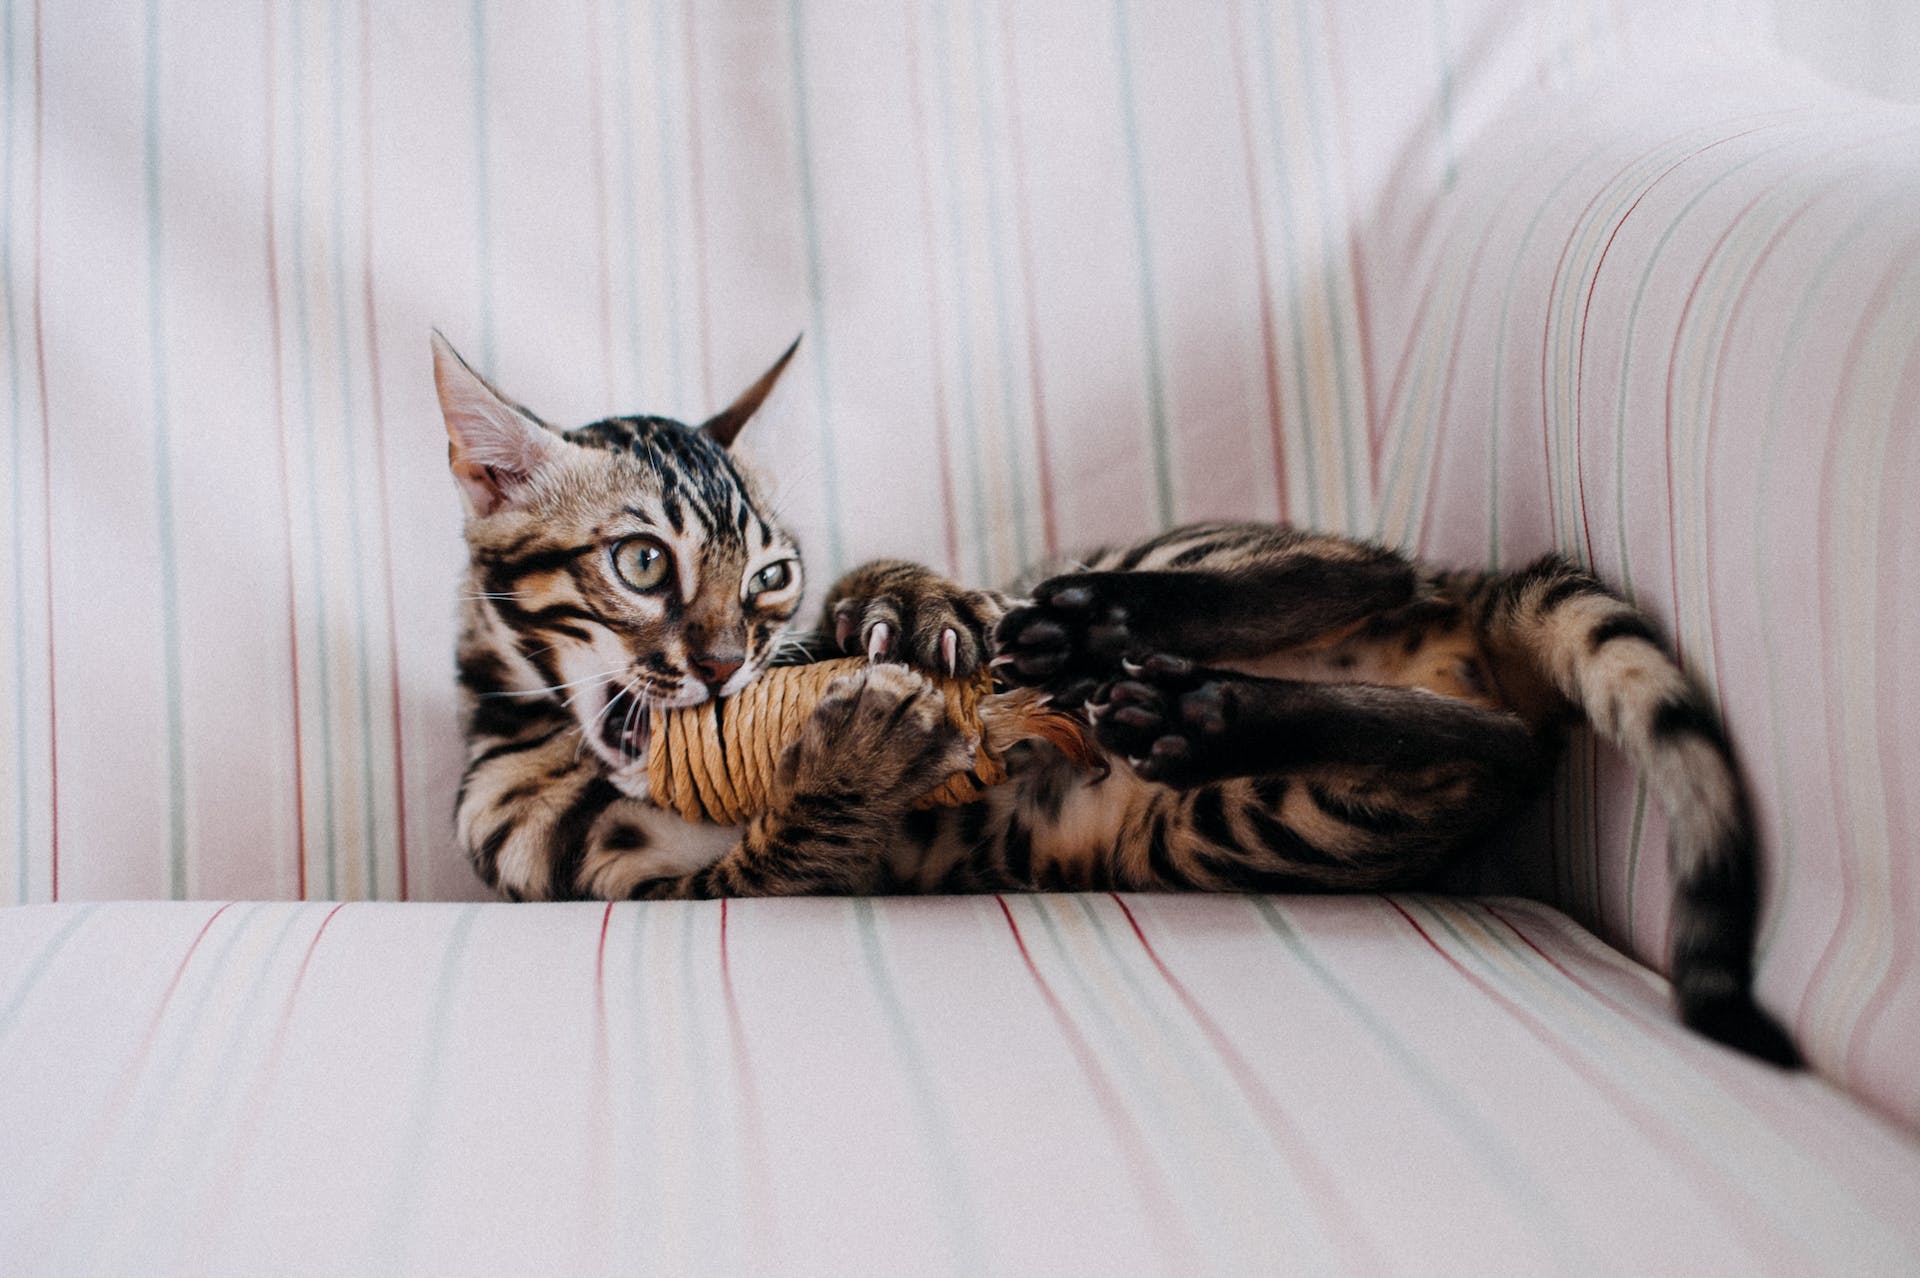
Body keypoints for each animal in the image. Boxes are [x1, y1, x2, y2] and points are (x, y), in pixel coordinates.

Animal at [437, 333, 975, 901]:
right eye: (643, 562)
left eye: (770, 577)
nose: (724, 665)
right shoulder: (631, 883)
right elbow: (776, 863)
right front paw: (856, 761)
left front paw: (912, 597)